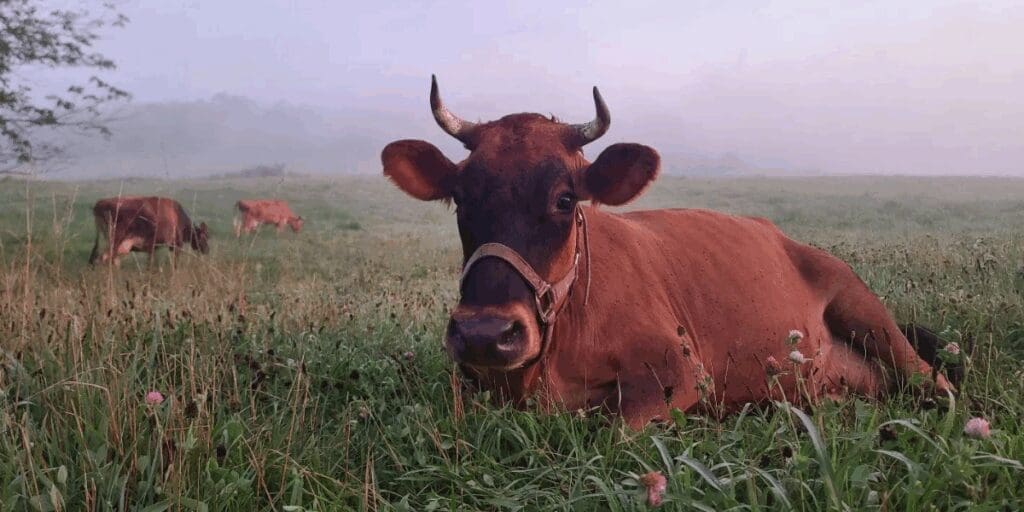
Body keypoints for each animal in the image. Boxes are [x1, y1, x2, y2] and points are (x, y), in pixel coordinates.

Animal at [381, 76, 954, 428]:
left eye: (564, 199)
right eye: (460, 198)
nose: (485, 334)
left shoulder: (678, 371)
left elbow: (616, 433)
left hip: (866, 309)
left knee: (937, 383)